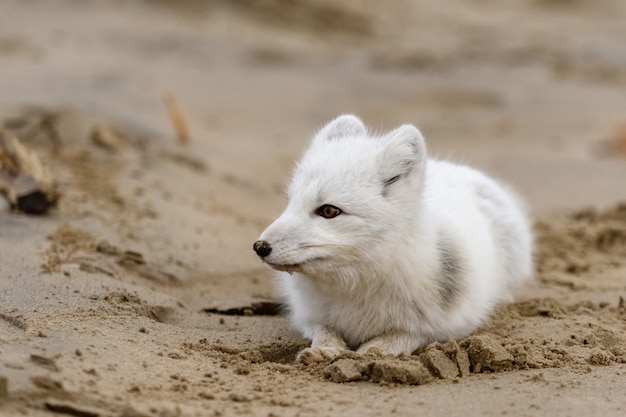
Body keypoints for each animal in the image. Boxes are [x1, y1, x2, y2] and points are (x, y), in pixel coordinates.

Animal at [254, 114, 532, 364]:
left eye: (329, 211)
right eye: (290, 202)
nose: (259, 247)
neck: (359, 284)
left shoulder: (453, 323)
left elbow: (401, 336)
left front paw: (370, 354)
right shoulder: (307, 316)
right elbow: (326, 331)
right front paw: (324, 350)